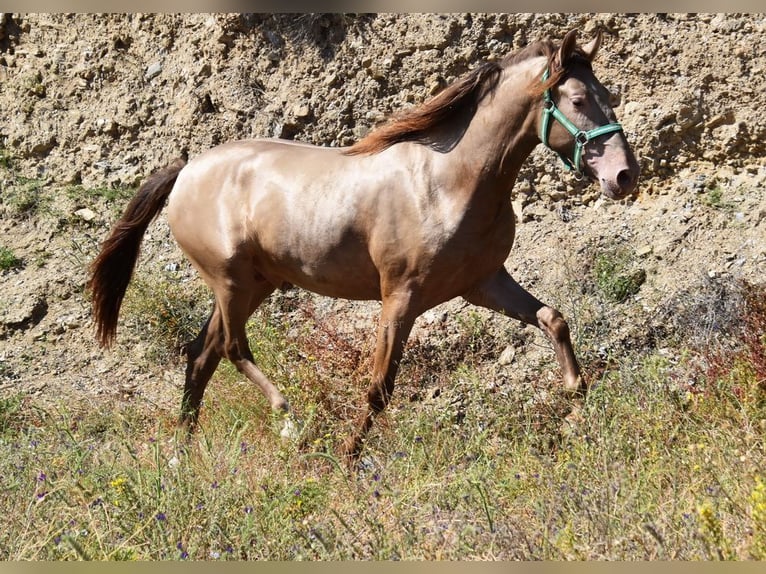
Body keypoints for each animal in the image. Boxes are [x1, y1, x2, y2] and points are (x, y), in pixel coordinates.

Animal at [88, 30, 640, 464]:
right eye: (577, 100)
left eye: (606, 94)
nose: (624, 176)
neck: (449, 181)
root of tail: (186, 170)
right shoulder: (401, 298)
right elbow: (379, 387)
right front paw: (350, 457)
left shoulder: (483, 283)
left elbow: (553, 319)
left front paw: (578, 398)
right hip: (230, 282)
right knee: (230, 348)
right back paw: (288, 419)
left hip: (255, 285)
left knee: (201, 354)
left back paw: (181, 455)